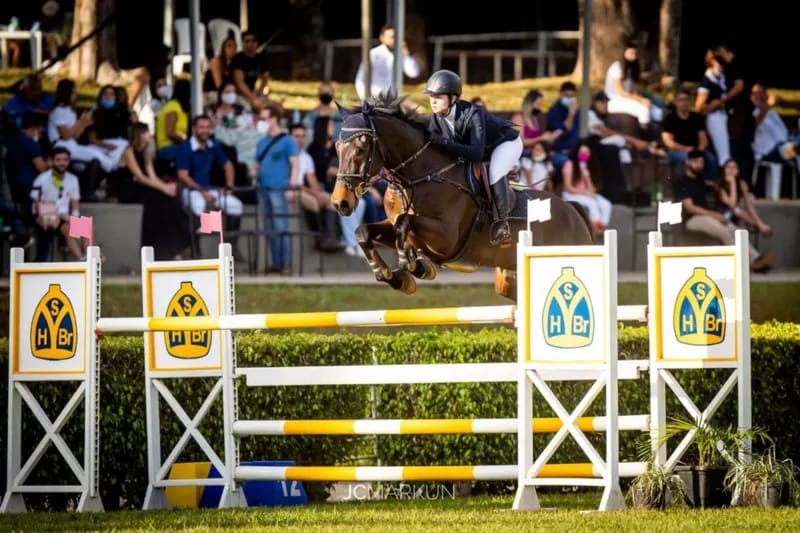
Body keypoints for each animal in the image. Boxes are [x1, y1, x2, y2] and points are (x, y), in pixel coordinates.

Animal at [330, 94, 592, 300]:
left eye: (360, 149)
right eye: (336, 147)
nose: (340, 203)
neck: (418, 176)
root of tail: (574, 212)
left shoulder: (447, 236)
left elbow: (404, 224)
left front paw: (411, 263)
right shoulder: (393, 222)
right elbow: (365, 231)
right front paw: (395, 276)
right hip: (509, 278)